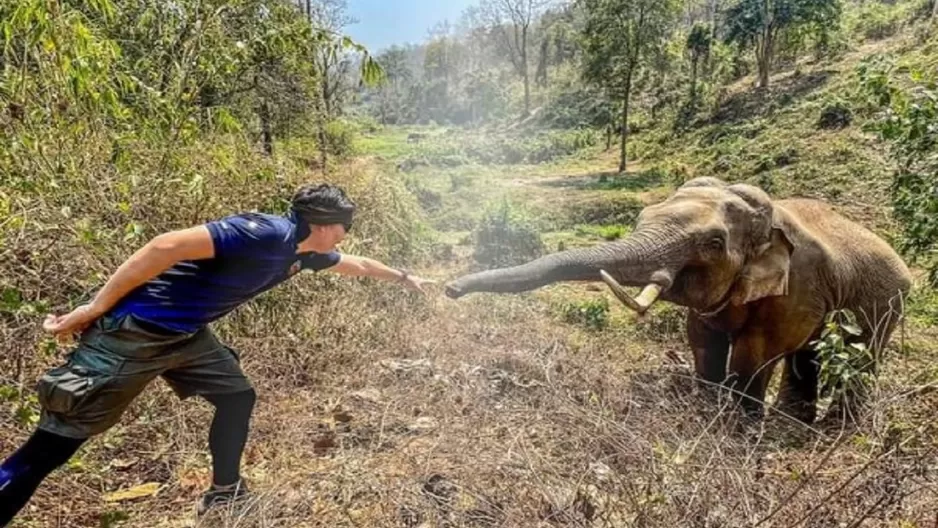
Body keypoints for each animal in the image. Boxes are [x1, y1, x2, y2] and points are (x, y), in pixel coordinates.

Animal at [442, 178, 912, 424]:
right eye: (640, 219)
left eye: (714, 243)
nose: (449, 289)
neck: (765, 216)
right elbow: (702, 338)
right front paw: (707, 406)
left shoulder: (797, 286)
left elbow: (757, 350)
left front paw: (738, 425)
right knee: (809, 356)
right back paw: (795, 421)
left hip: (887, 301)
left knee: (860, 356)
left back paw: (832, 427)